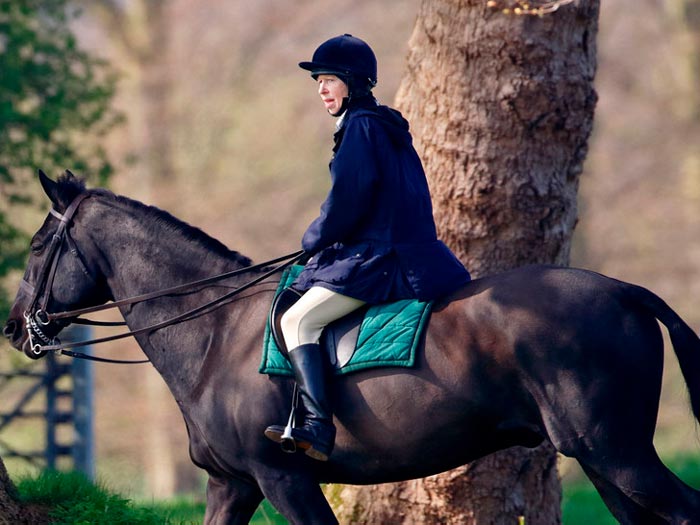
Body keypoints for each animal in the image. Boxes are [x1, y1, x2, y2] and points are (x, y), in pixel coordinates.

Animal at [4, 173, 700, 524]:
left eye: (37, 246)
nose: (14, 328)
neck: (214, 333)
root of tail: (625, 291)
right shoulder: (233, 486)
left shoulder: (284, 479)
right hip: (603, 462)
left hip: (617, 454)